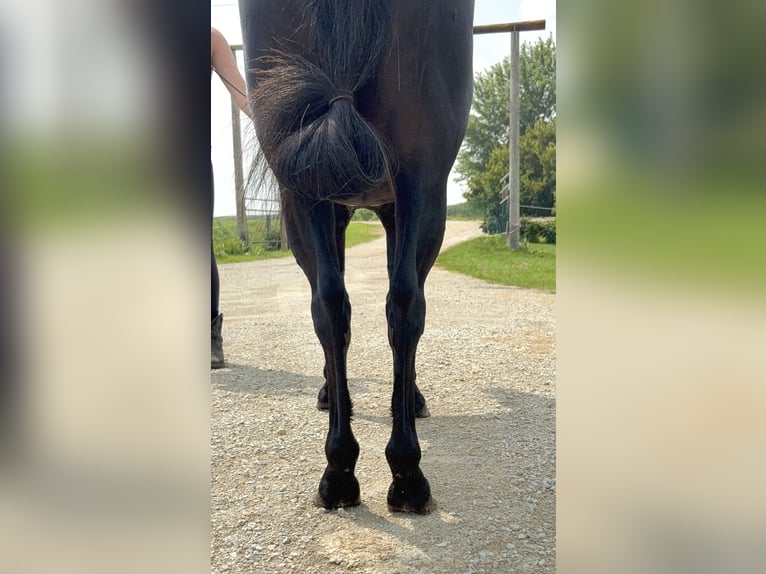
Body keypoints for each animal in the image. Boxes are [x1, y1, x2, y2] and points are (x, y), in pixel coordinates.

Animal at [239, 0, 474, 514]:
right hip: (419, 183)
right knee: (394, 303)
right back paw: (402, 474)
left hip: (311, 186)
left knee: (339, 305)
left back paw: (345, 471)